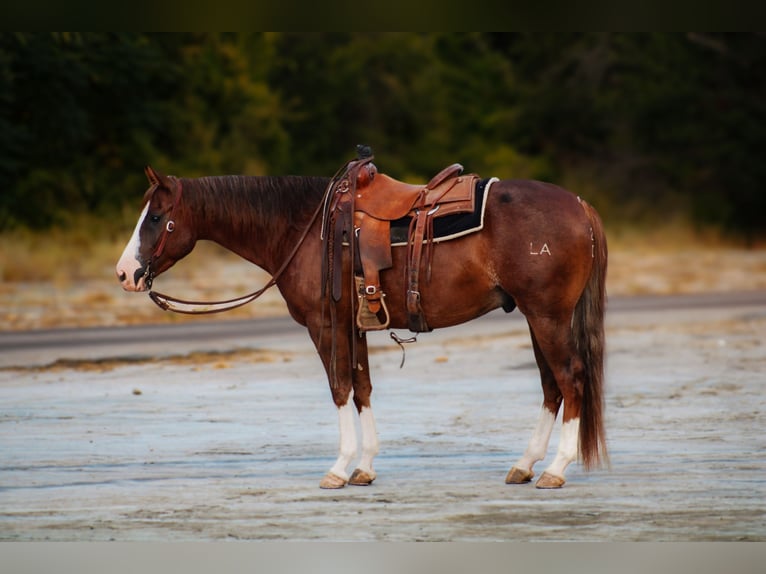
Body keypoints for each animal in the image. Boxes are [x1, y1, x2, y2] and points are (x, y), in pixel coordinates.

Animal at [115, 160, 608, 492]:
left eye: (156, 217)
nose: (125, 273)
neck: (304, 228)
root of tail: (580, 206)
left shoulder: (324, 325)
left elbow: (339, 388)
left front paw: (338, 468)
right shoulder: (353, 327)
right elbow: (362, 387)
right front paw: (365, 467)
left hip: (547, 316)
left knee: (571, 379)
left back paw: (555, 470)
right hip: (535, 317)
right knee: (551, 386)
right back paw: (525, 465)